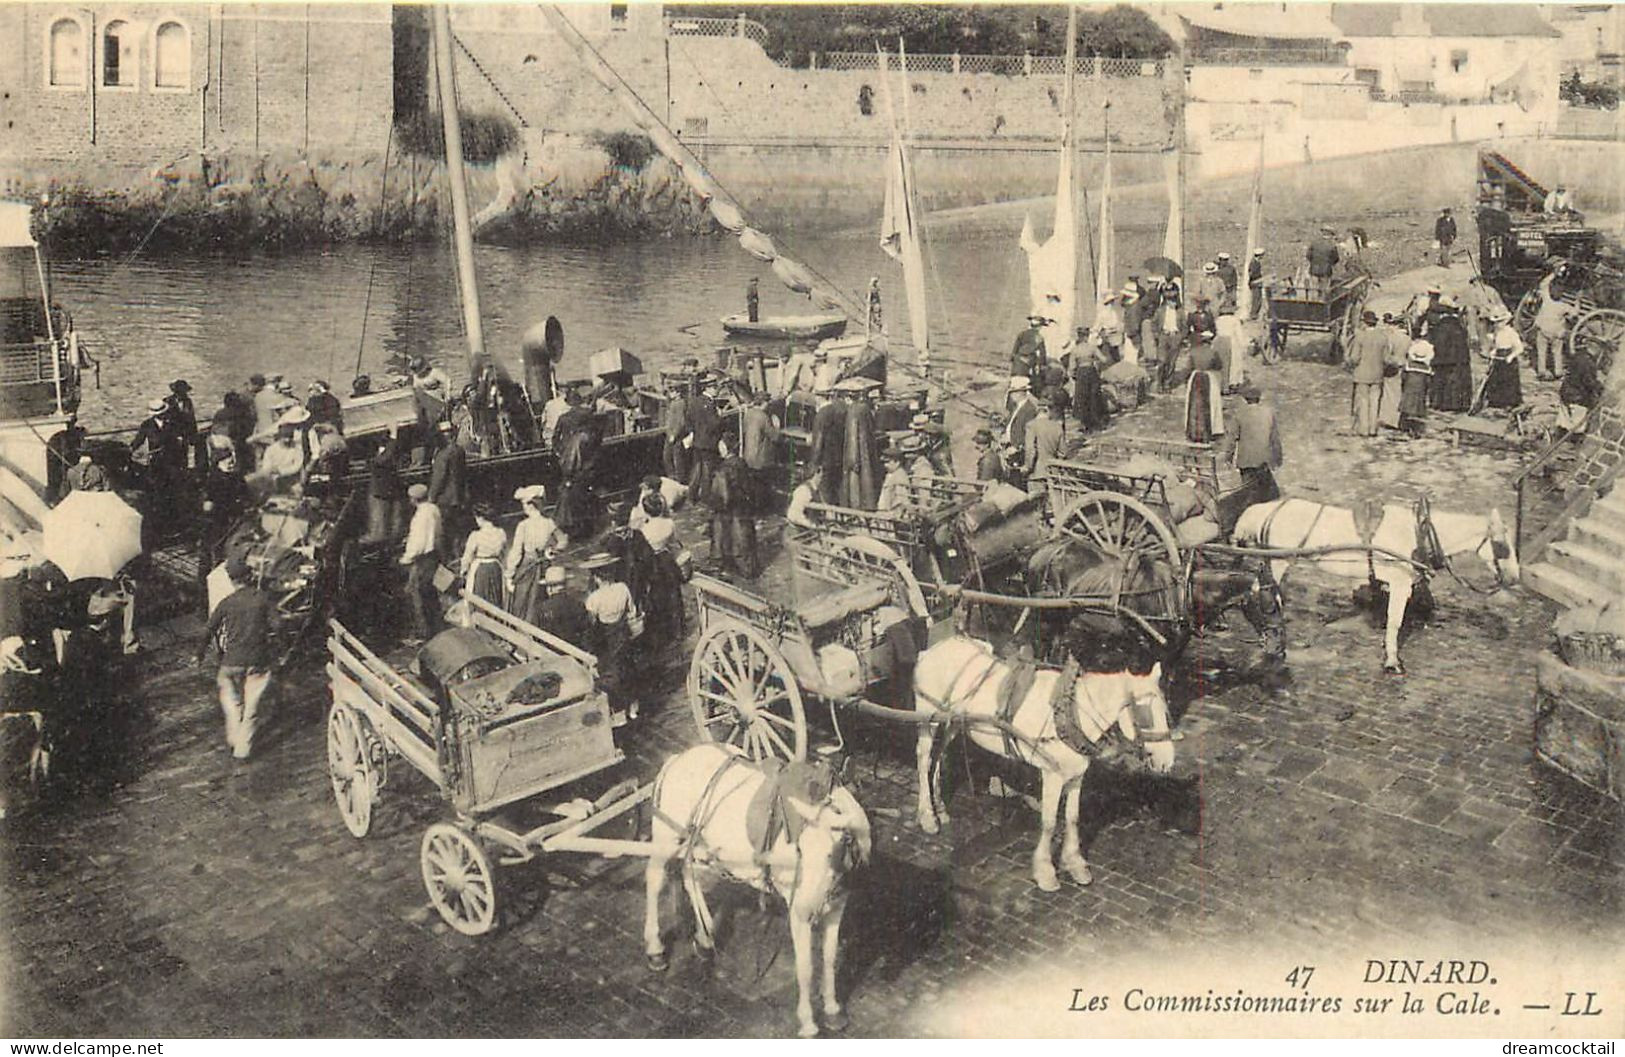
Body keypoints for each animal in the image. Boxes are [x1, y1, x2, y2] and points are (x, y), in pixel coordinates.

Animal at [640, 741, 871, 1034]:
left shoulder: (836, 907)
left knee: (689, 875)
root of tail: (678, 759)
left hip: (698, 842)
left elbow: (829, 959)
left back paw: (705, 939)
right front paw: (807, 1021)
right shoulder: (798, 913)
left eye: (840, 847)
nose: (809, 909)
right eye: (801, 849)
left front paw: (832, 1010)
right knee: (654, 879)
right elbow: (805, 967)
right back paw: (655, 950)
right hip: (666, 838)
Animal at [916, 634, 1170, 891]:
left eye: (1166, 710)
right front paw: (1045, 872)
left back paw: (939, 806)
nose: (1167, 761)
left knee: (938, 755)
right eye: (1144, 714)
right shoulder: (1052, 775)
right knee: (924, 757)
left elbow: (1072, 818)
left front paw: (1075, 864)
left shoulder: (1077, 775)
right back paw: (927, 815)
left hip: (952, 721)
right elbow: (1049, 823)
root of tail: (936, 647)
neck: (1072, 711)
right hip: (928, 717)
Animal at [1027, 539, 1280, 663]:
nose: (1279, 648)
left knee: (1057, 644)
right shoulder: (1148, 644)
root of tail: (1043, 551)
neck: (1180, 593)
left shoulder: (1174, 648)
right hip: (1044, 615)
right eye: (1270, 607)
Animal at [1235, 497, 1514, 676]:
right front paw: (1392, 662)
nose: (1514, 579)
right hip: (1278, 561)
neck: (1418, 532)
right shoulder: (1400, 585)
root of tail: (1270, 508)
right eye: (1502, 546)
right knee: (1264, 594)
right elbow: (1395, 622)